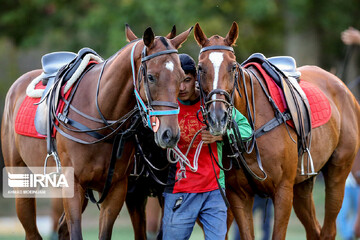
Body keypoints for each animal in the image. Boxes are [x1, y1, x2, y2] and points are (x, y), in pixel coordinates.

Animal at [1, 25, 193, 239]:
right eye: (151, 77)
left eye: (181, 78)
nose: (170, 134)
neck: (100, 115)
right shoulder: (74, 185)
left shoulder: (117, 189)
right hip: (21, 179)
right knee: (33, 232)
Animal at [194, 21, 360, 239]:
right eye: (200, 68)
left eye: (232, 67)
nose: (217, 117)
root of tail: (343, 87)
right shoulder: (238, 195)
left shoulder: (283, 190)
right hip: (303, 183)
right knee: (314, 230)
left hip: (338, 173)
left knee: (328, 230)